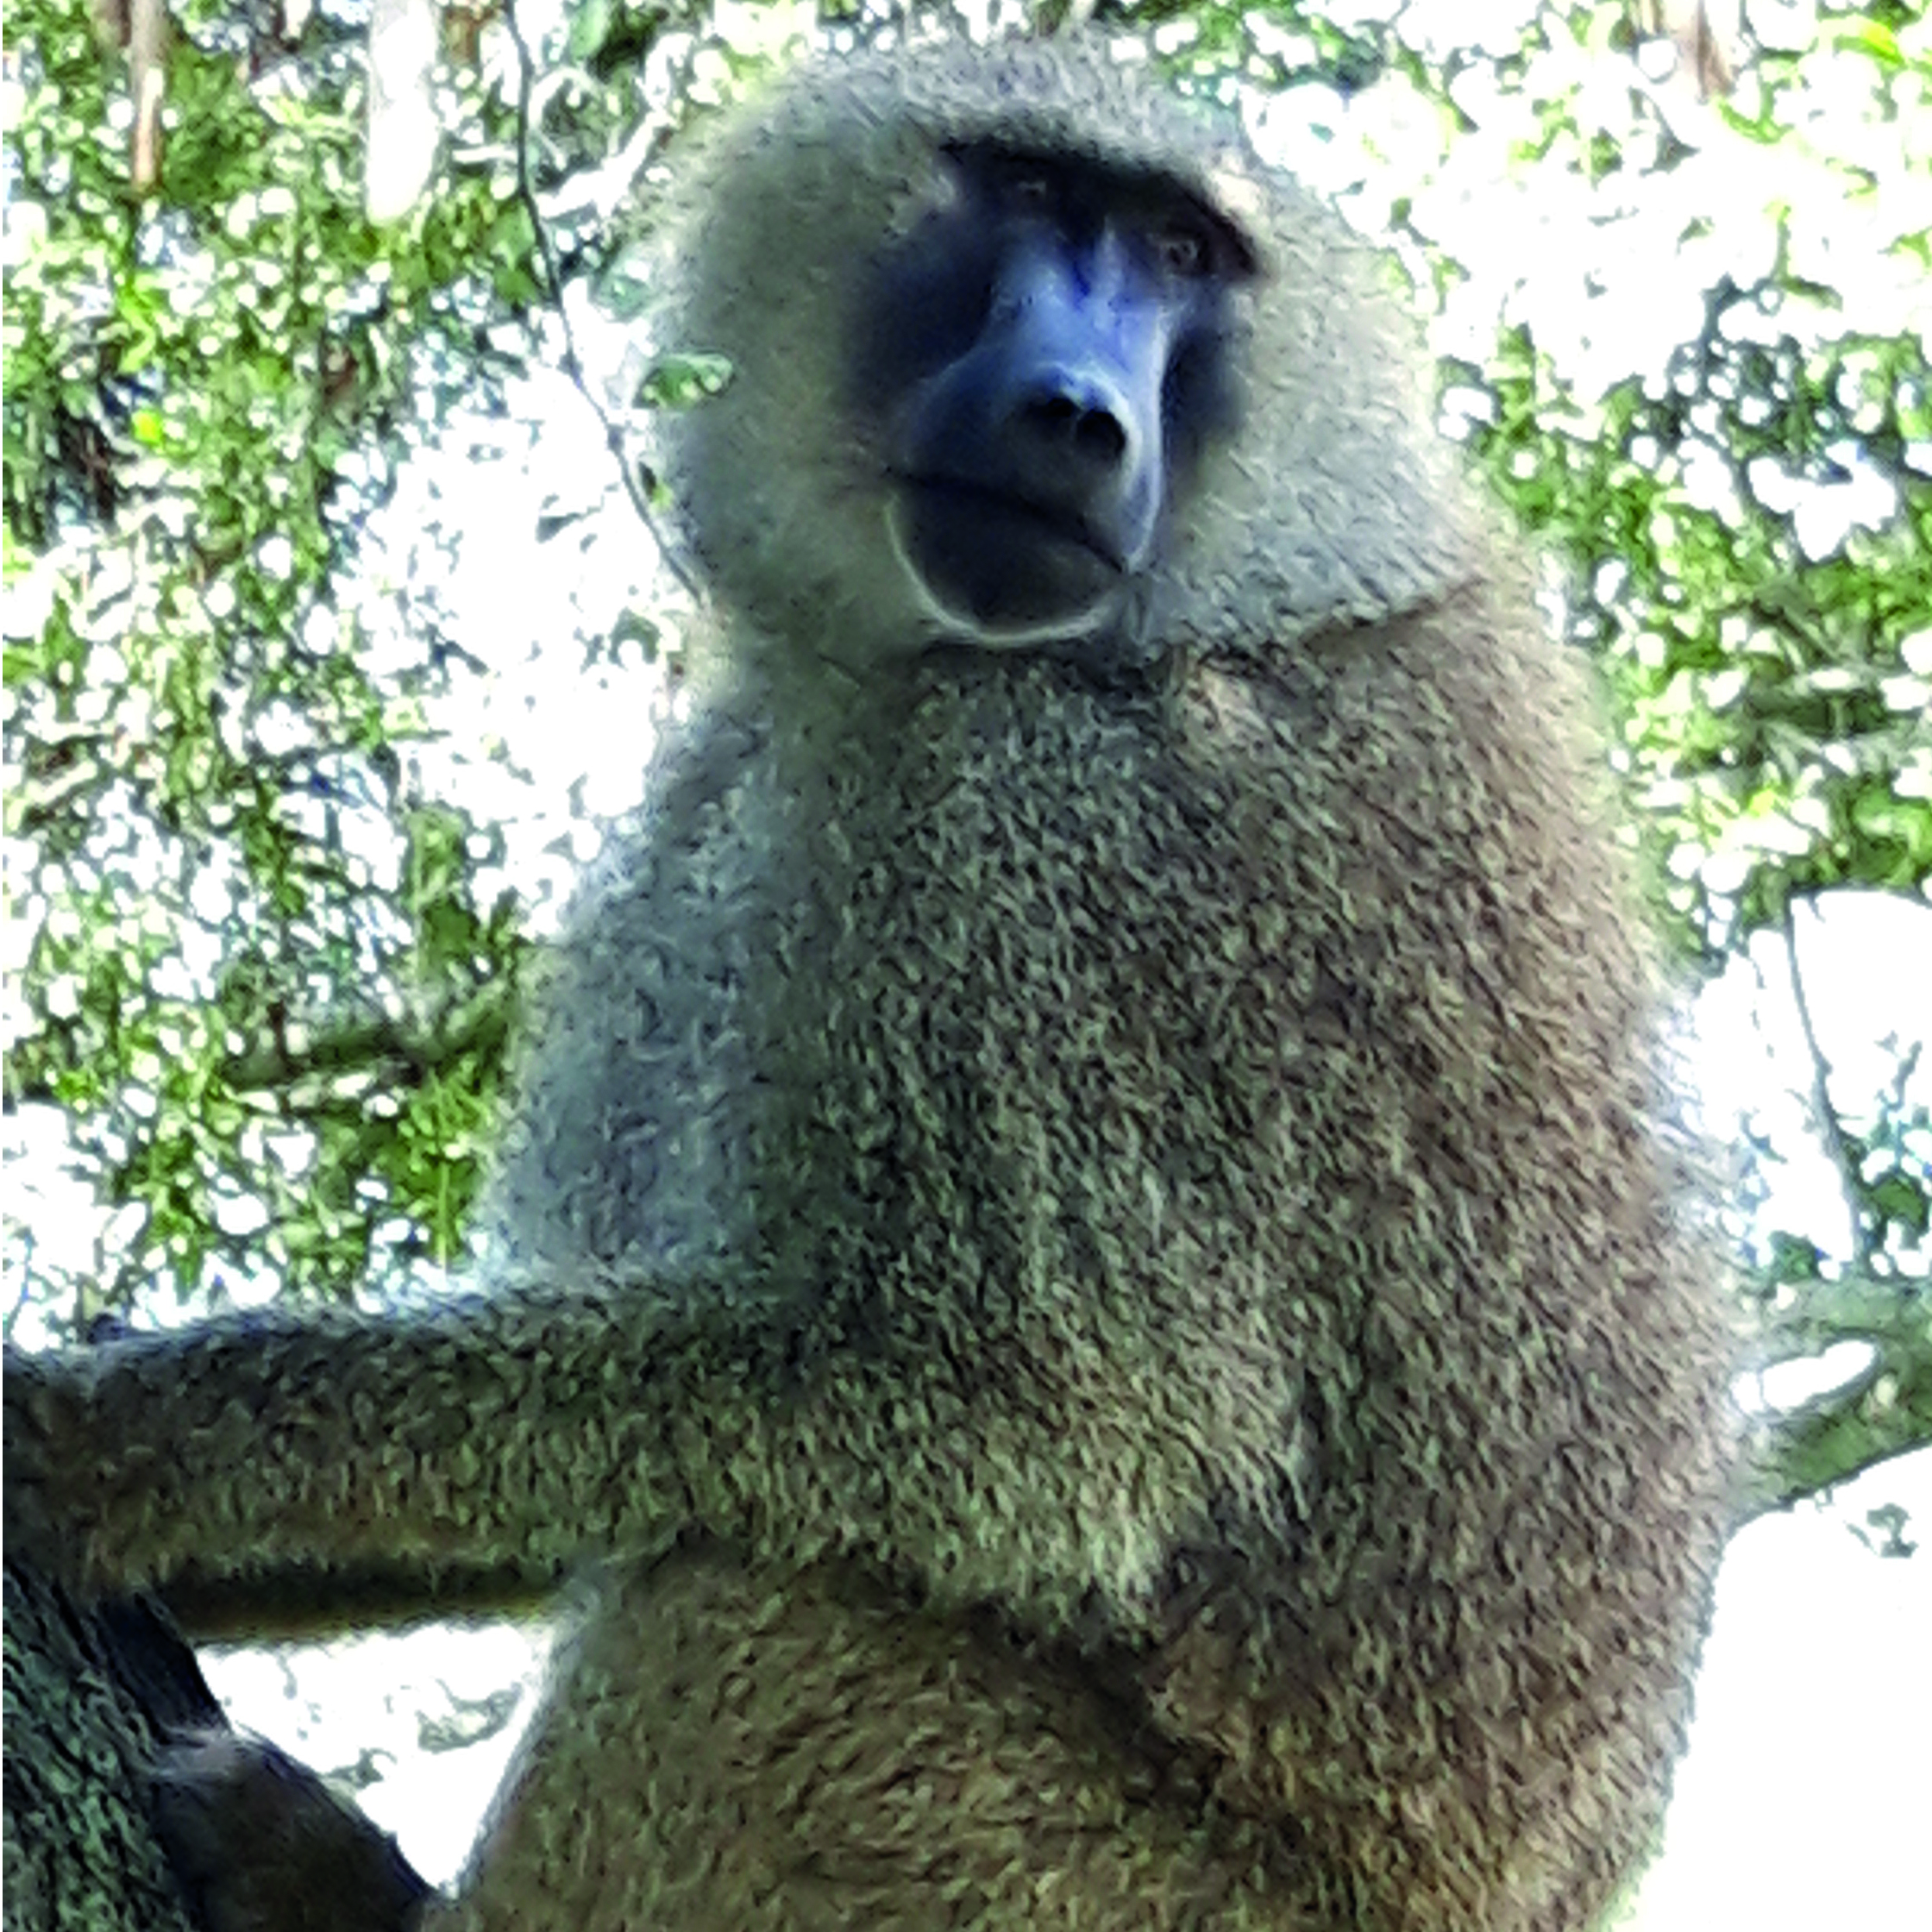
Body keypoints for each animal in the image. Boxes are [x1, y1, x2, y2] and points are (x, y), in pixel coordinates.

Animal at [4, 36, 1735, 1932]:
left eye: (1181, 255)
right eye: (1033, 194)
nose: (1076, 414)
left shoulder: (1034, 825)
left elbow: (1035, 1419)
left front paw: (123, 1444)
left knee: (736, 1607)